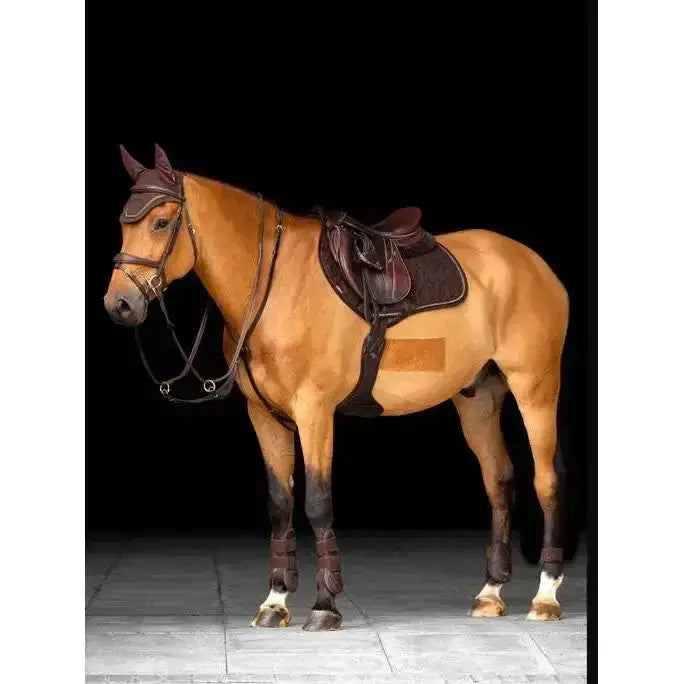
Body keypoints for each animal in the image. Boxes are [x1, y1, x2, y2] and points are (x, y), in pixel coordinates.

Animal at [103, 144, 570, 631]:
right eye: (123, 222)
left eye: (160, 222)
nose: (120, 304)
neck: (277, 284)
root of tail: (535, 264)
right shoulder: (265, 415)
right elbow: (280, 504)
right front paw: (274, 602)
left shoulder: (315, 411)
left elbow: (317, 502)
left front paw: (324, 605)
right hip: (478, 399)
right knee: (499, 481)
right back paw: (490, 592)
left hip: (535, 388)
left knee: (547, 481)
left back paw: (546, 596)